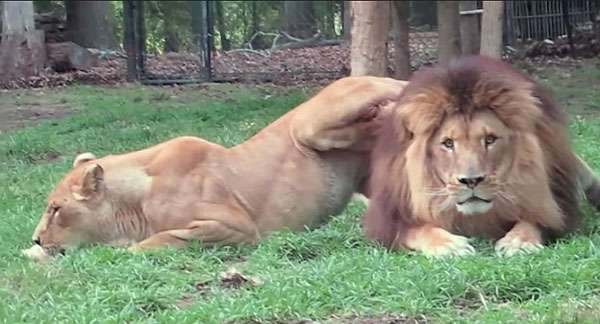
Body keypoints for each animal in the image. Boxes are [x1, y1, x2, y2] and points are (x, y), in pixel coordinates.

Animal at [23, 76, 408, 260]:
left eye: (55, 208)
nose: (36, 238)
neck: (130, 209)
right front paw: (32, 253)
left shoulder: (235, 226)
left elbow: (159, 240)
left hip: (311, 124)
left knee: (387, 94)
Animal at [364, 55, 600, 258]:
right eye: (448, 143)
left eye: (489, 139)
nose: (471, 181)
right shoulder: (390, 217)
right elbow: (417, 229)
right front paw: (450, 246)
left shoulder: (556, 203)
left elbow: (533, 220)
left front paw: (519, 241)